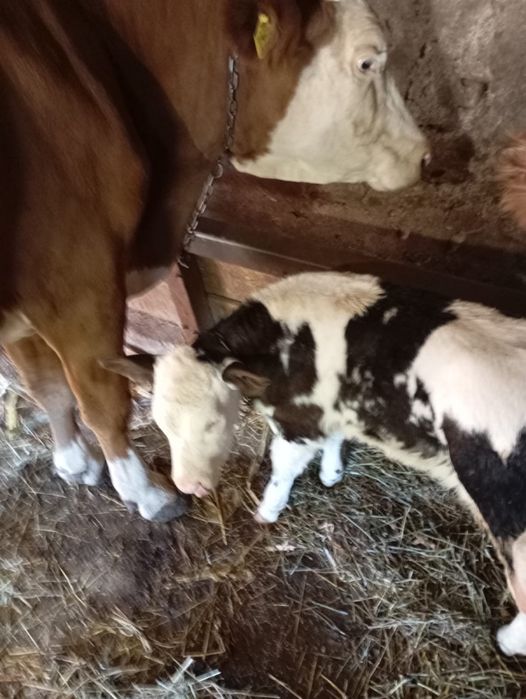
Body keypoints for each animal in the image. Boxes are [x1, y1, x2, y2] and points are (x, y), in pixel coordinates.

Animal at [0, 0, 429, 521]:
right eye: (368, 61)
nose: (425, 156)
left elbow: (45, 382)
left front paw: (74, 462)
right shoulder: (76, 283)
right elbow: (94, 398)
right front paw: (142, 493)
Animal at [106, 271, 526, 655]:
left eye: (211, 421)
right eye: (162, 421)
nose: (188, 484)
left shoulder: (297, 419)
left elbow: (283, 465)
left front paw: (267, 511)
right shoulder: (329, 407)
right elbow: (333, 438)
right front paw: (330, 474)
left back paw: (506, 642)